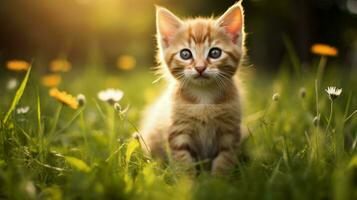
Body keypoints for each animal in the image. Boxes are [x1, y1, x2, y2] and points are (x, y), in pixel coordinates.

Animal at [139, 2, 245, 176]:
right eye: (185, 54)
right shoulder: (178, 132)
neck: (204, 98)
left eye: (215, 53)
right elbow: (183, 162)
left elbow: (225, 159)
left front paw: (219, 181)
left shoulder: (229, 132)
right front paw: (188, 182)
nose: (200, 67)